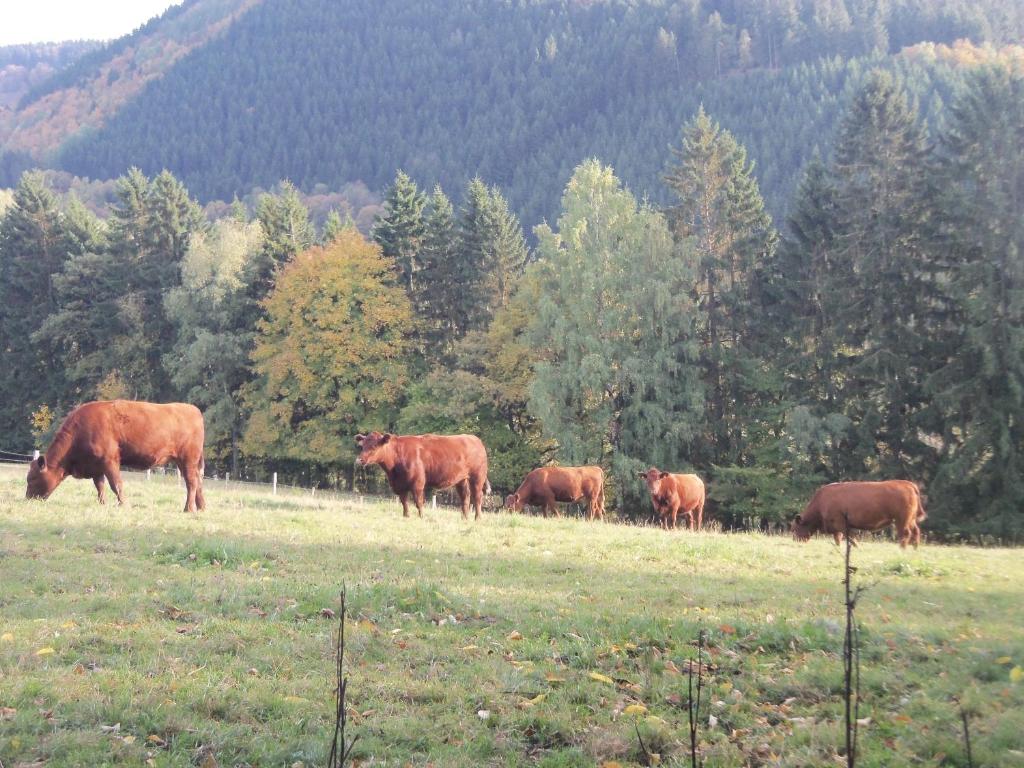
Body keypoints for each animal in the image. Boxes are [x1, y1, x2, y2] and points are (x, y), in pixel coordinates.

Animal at [24, 399, 205, 514]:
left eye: (32, 478)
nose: (28, 499)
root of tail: (193, 410)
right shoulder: (96, 467)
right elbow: (100, 486)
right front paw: (102, 504)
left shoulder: (110, 461)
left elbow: (116, 484)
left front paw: (123, 504)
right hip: (185, 462)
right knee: (197, 481)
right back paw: (201, 507)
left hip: (188, 459)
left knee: (191, 482)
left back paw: (188, 509)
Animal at [358, 434, 489, 524]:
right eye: (362, 446)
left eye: (374, 446)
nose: (359, 459)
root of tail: (474, 438)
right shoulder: (400, 485)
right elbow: (404, 502)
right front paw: (406, 516)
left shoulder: (418, 483)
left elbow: (419, 502)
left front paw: (421, 517)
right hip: (461, 479)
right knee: (465, 497)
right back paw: (464, 518)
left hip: (478, 476)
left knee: (477, 497)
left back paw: (478, 518)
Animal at [790, 479, 929, 548]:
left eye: (794, 529)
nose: (795, 541)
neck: (821, 501)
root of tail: (907, 484)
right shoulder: (837, 527)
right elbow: (838, 538)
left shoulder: (841, 524)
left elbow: (849, 537)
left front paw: (857, 546)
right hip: (910, 520)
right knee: (915, 531)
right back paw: (915, 548)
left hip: (902, 520)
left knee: (905, 533)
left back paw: (902, 549)